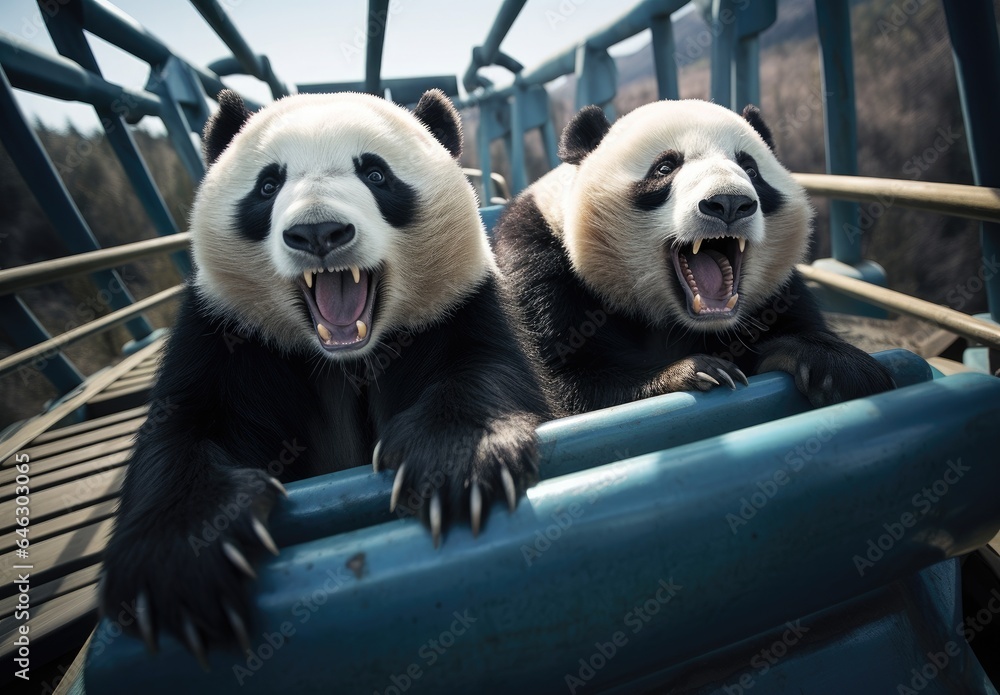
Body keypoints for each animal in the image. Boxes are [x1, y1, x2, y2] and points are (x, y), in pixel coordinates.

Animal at [99, 89, 548, 661]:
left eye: (376, 174)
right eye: (268, 185)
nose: (317, 232)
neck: (346, 359)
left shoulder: (462, 303)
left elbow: (486, 367)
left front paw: (456, 464)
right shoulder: (227, 332)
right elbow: (186, 425)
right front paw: (180, 563)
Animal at [492, 99, 894, 416]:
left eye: (750, 169)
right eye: (665, 167)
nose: (729, 202)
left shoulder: (778, 291)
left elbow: (802, 327)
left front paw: (838, 368)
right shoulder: (541, 265)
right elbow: (570, 387)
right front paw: (696, 371)